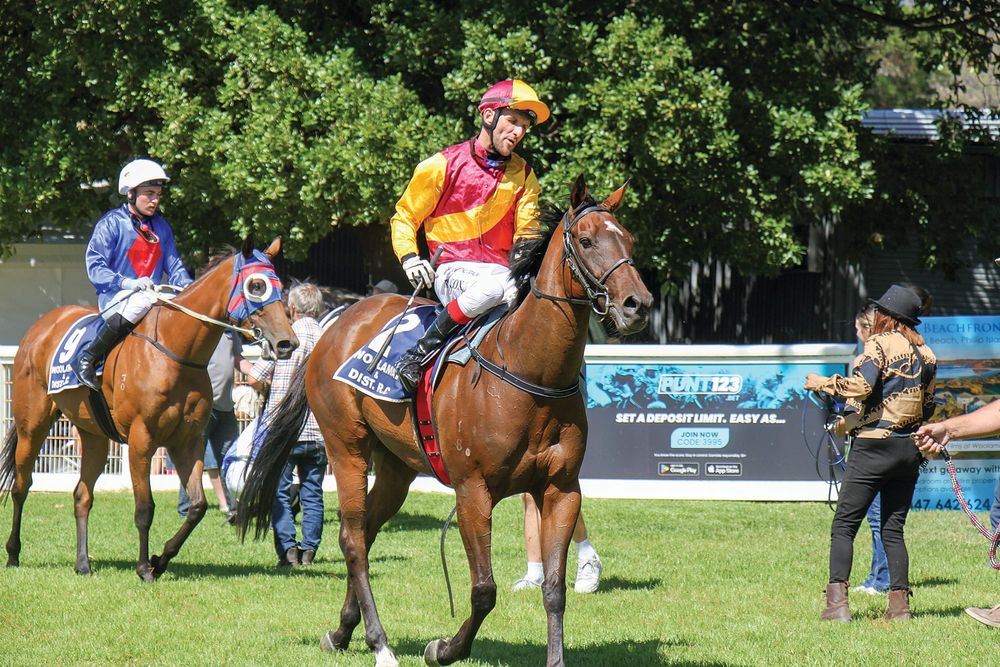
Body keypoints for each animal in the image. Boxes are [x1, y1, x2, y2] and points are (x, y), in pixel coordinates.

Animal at [1, 237, 298, 582]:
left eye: (280, 285)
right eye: (257, 285)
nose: (287, 343)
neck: (177, 352)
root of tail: (42, 325)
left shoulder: (188, 441)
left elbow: (197, 506)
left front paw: (161, 558)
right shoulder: (141, 440)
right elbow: (145, 508)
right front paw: (144, 567)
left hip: (93, 435)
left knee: (82, 495)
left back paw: (83, 563)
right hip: (32, 425)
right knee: (21, 486)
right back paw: (13, 553)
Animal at [238, 175, 651, 667]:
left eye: (628, 239)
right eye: (587, 241)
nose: (637, 304)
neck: (531, 372)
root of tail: (335, 324)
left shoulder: (561, 489)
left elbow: (554, 590)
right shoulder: (473, 491)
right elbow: (484, 590)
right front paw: (445, 648)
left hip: (396, 467)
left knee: (367, 531)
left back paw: (342, 631)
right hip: (346, 448)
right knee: (353, 541)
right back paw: (379, 643)